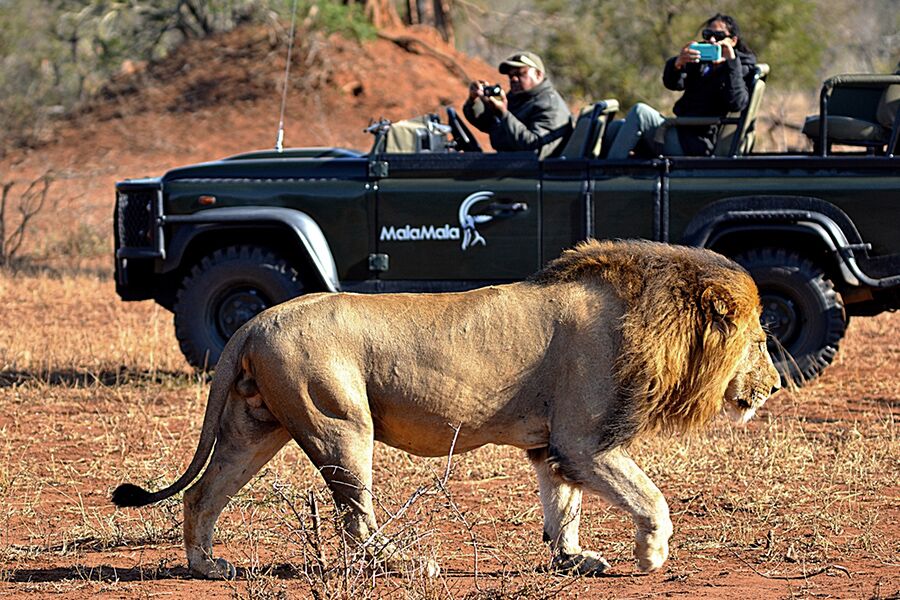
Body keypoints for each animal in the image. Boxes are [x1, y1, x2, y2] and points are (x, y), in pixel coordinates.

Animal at [112, 239, 780, 579]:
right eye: (762, 340)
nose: (775, 388)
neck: (652, 315)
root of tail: (252, 322)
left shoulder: (554, 446)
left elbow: (562, 508)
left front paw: (572, 559)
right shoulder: (586, 441)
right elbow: (651, 498)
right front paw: (651, 555)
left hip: (254, 427)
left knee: (204, 493)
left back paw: (207, 567)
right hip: (341, 425)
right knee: (357, 519)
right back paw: (404, 563)